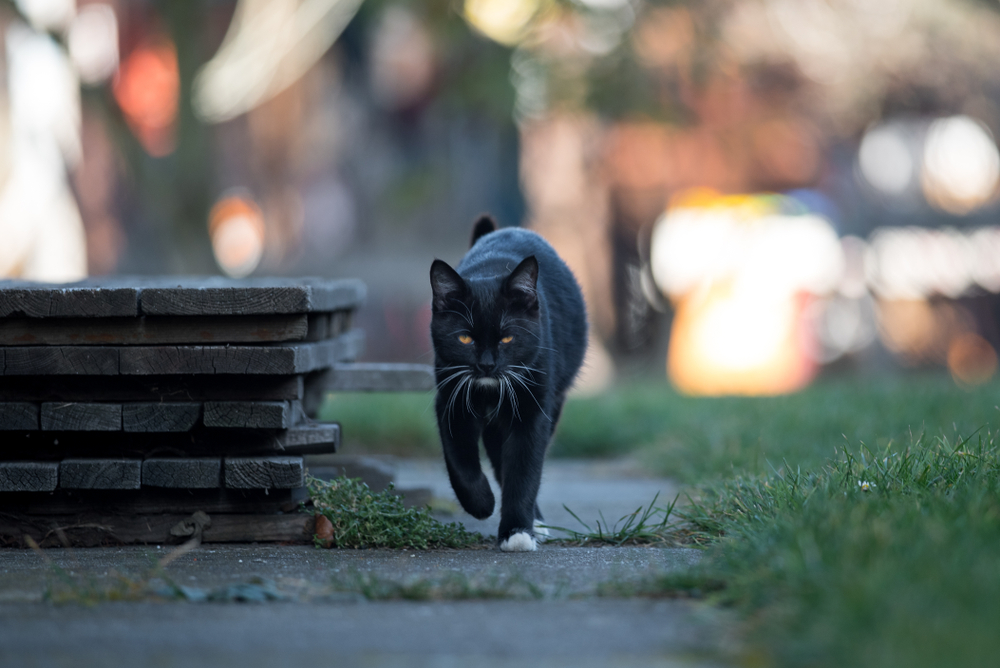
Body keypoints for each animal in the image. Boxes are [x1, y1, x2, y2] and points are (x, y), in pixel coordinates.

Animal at [428, 217, 584, 552]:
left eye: (508, 337)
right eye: (465, 338)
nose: (486, 364)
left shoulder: (534, 405)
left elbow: (525, 468)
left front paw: (517, 532)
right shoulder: (450, 399)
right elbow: (459, 459)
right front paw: (481, 503)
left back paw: (535, 522)